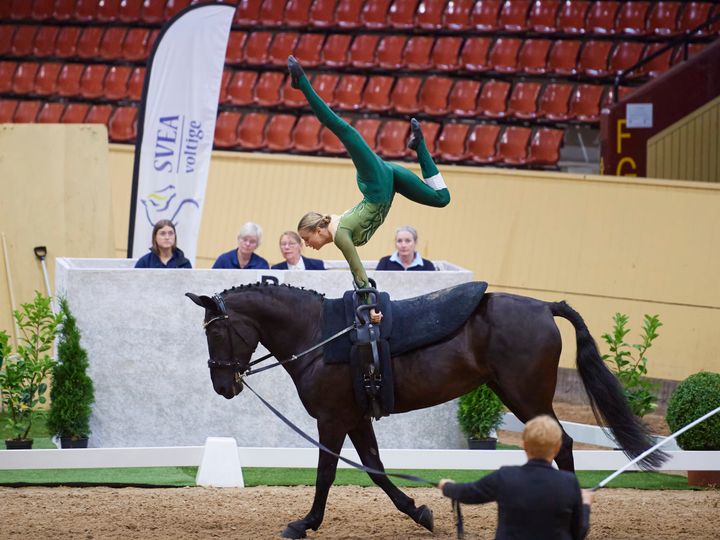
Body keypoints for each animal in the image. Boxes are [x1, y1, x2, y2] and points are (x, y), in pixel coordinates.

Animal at [186, 282, 664, 539]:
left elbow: (326, 473)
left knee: (561, 444)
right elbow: (376, 468)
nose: (222, 386)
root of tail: (544, 307)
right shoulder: (355, 417)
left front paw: (304, 523)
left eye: (216, 333)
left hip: (526, 397)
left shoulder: (332, 419)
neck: (320, 337)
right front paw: (420, 511)